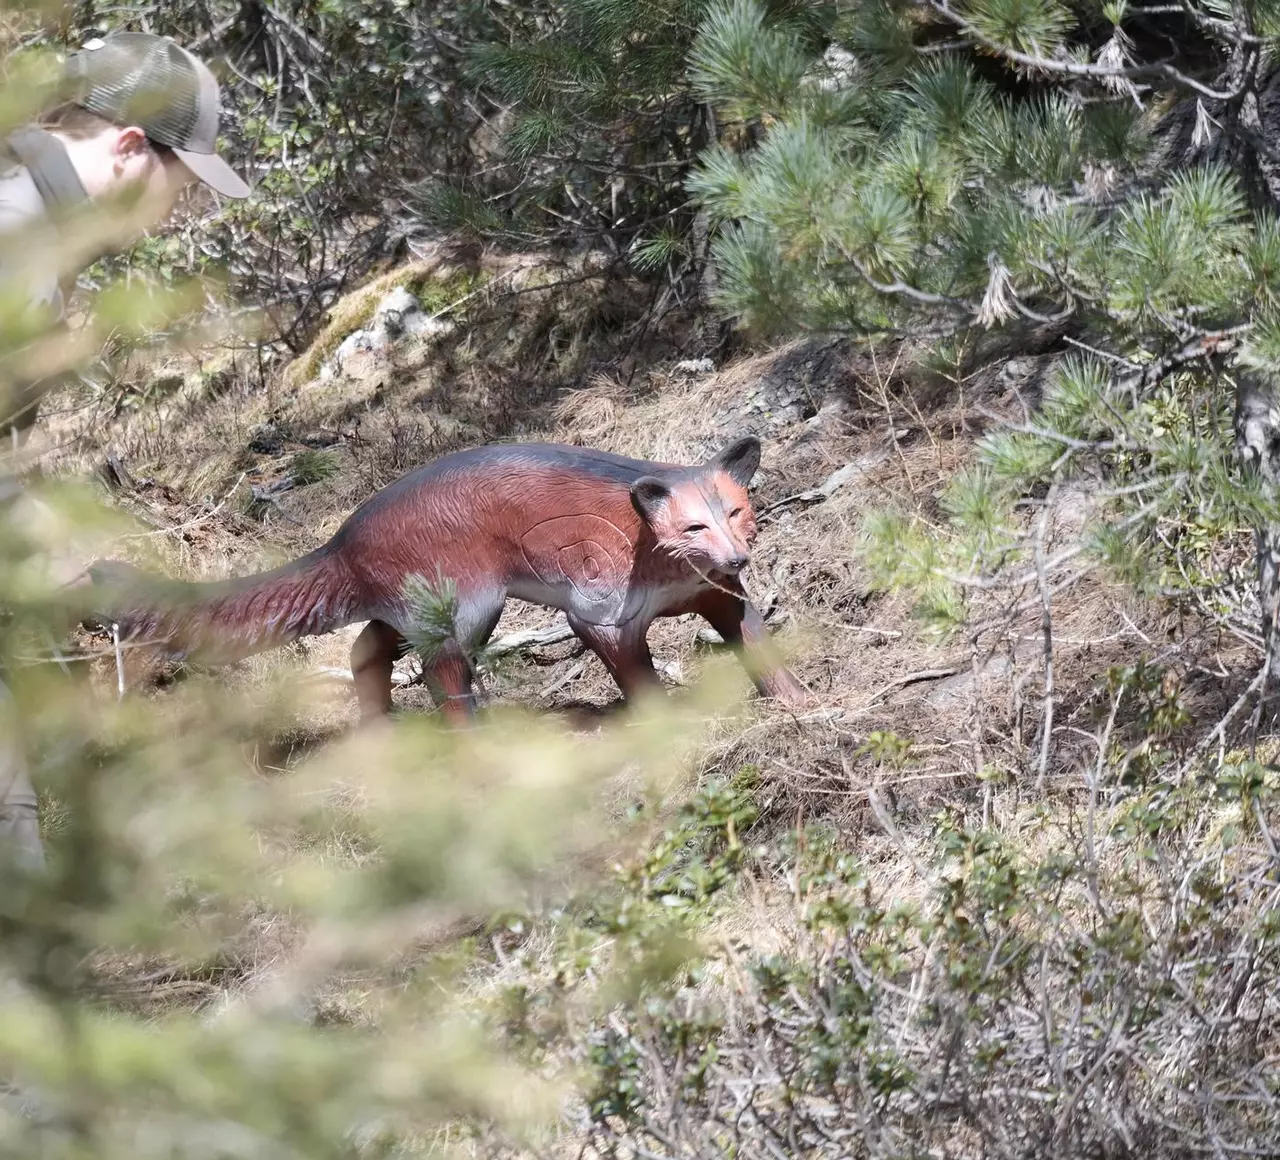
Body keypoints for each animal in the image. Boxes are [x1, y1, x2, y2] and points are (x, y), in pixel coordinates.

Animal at [82, 437, 808, 716]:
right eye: (694, 527)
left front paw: (798, 698)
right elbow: (640, 682)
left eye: (735, 513)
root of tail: (345, 535)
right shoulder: (598, 616)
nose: (738, 557)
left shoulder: (721, 598)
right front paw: (664, 724)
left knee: (363, 649)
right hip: (470, 611)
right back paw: (471, 736)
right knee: (440, 675)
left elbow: (762, 651)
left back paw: (380, 731)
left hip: (421, 612)